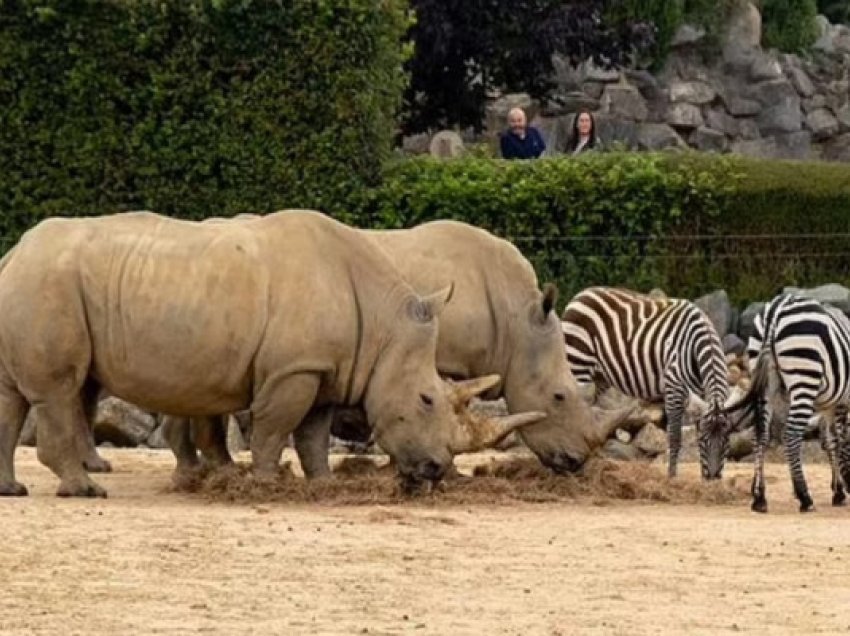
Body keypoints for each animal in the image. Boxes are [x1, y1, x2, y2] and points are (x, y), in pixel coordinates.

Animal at [564, 286, 728, 476]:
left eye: (726, 440)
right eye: (705, 439)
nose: (713, 477)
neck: (696, 346)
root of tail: (579, 295)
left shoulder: (699, 393)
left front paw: (702, 478)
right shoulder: (673, 387)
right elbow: (675, 436)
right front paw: (672, 476)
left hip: (599, 377)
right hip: (578, 365)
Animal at [724, 294, 848, 512]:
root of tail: (775, 308)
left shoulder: (829, 404)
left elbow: (830, 440)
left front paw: (838, 490)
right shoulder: (840, 401)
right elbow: (839, 440)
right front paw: (840, 489)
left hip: (765, 378)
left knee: (761, 434)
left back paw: (759, 497)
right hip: (804, 375)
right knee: (791, 434)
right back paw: (805, 497)